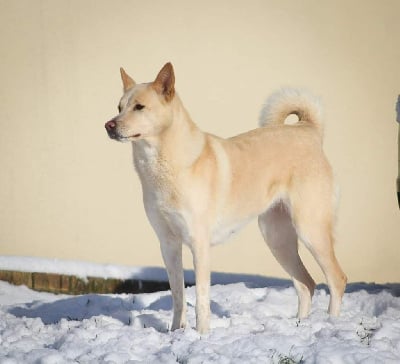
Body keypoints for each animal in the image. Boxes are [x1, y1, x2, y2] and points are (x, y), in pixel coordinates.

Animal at [104, 61, 346, 332]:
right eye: (119, 107)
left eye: (139, 107)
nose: (108, 125)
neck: (163, 166)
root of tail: (309, 131)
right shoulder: (168, 244)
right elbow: (178, 295)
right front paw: (177, 333)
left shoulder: (199, 244)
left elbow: (200, 299)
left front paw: (201, 335)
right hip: (277, 238)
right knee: (306, 284)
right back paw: (300, 326)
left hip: (310, 230)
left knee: (337, 280)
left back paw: (331, 325)